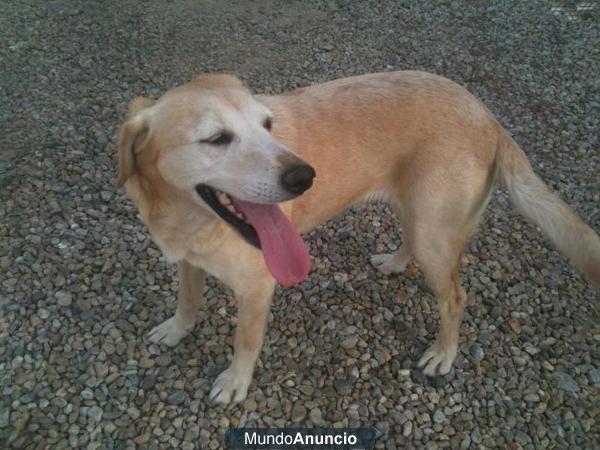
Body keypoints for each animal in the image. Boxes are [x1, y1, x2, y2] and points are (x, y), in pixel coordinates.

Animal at [117, 71, 600, 404]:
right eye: (216, 138)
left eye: (268, 124)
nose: (305, 176)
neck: (188, 220)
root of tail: (488, 117)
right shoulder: (187, 262)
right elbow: (187, 302)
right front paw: (176, 330)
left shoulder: (256, 289)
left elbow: (245, 342)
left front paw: (236, 382)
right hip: (416, 213)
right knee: (411, 242)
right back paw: (395, 262)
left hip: (436, 234)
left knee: (455, 299)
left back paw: (443, 354)